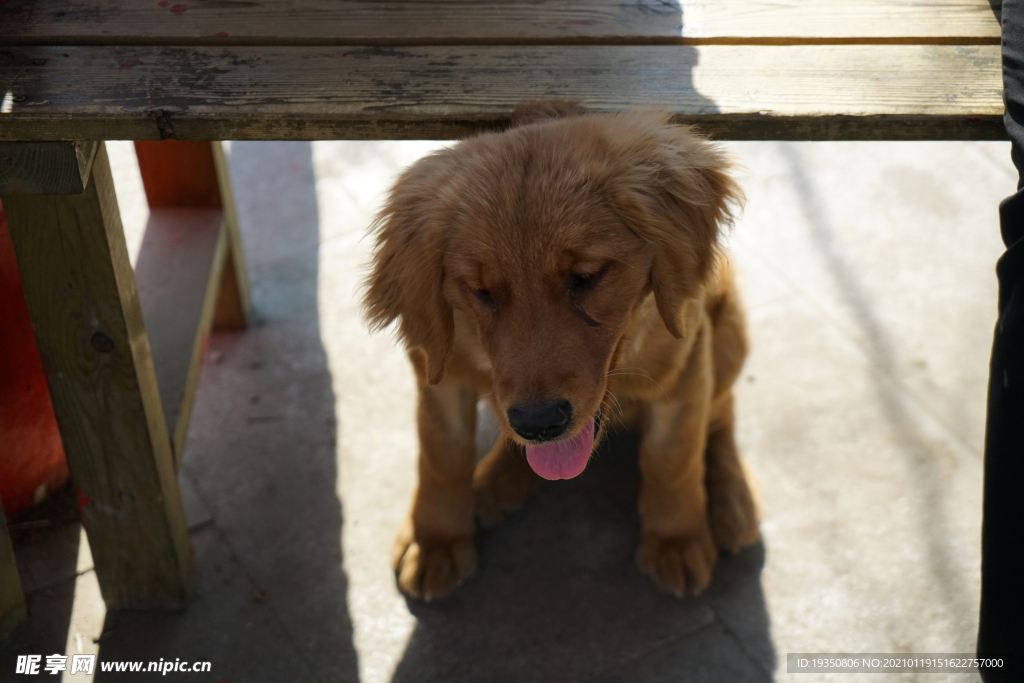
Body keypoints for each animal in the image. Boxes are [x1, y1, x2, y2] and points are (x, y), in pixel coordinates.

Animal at [366, 98, 761, 602]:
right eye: (481, 292)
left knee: (722, 414)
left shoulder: (684, 365)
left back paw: (732, 501)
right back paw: (497, 480)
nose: (539, 423)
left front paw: (677, 539)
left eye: (586, 277)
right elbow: (440, 456)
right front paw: (433, 539)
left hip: (728, 330)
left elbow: (672, 457)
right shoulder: (439, 372)